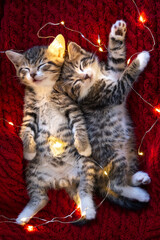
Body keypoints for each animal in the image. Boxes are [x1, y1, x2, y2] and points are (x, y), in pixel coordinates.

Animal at [5, 34, 96, 226]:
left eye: (41, 65)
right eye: (25, 68)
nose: (32, 74)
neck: (44, 91)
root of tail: (62, 179)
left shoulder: (72, 107)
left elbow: (79, 125)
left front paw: (84, 146)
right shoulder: (29, 111)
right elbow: (26, 130)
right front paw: (28, 151)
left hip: (85, 165)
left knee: (85, 189)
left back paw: (89, 210)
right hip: (32, 173)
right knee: (42, 198)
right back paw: (23, 217)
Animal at [56, 20, 151, 208]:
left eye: (81, 65)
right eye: (75, 83)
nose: (86, 76)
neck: (100, 77)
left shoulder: (114, 70)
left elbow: (117, 58)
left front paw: (117, 32)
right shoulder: (110, 94)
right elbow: (126, 76)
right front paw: (141, 59)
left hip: (129, 152)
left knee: (122, 178)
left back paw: (138, 178)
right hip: (115, 155)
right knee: (116, 184)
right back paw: (140, 194)